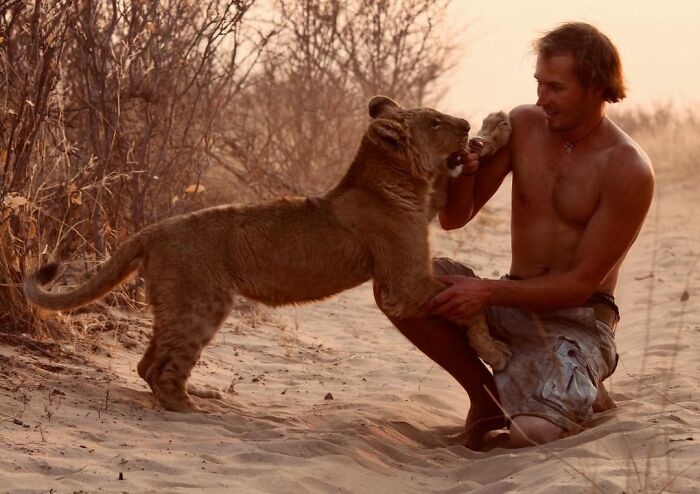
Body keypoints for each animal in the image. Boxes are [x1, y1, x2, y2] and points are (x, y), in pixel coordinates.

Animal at [24, 96, 511, 413]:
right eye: (434, 122)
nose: (464, 122)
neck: (392, 179)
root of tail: (151, 229)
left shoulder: (428, 206)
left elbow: (454, 182)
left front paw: (497, 127)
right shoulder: (403, 283)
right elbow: (470, 306)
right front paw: (497, 352)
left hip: (178, 302)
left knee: (147, 363)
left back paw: (199, 396)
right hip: (203, 301)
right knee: (164, 368)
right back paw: (193, 408)